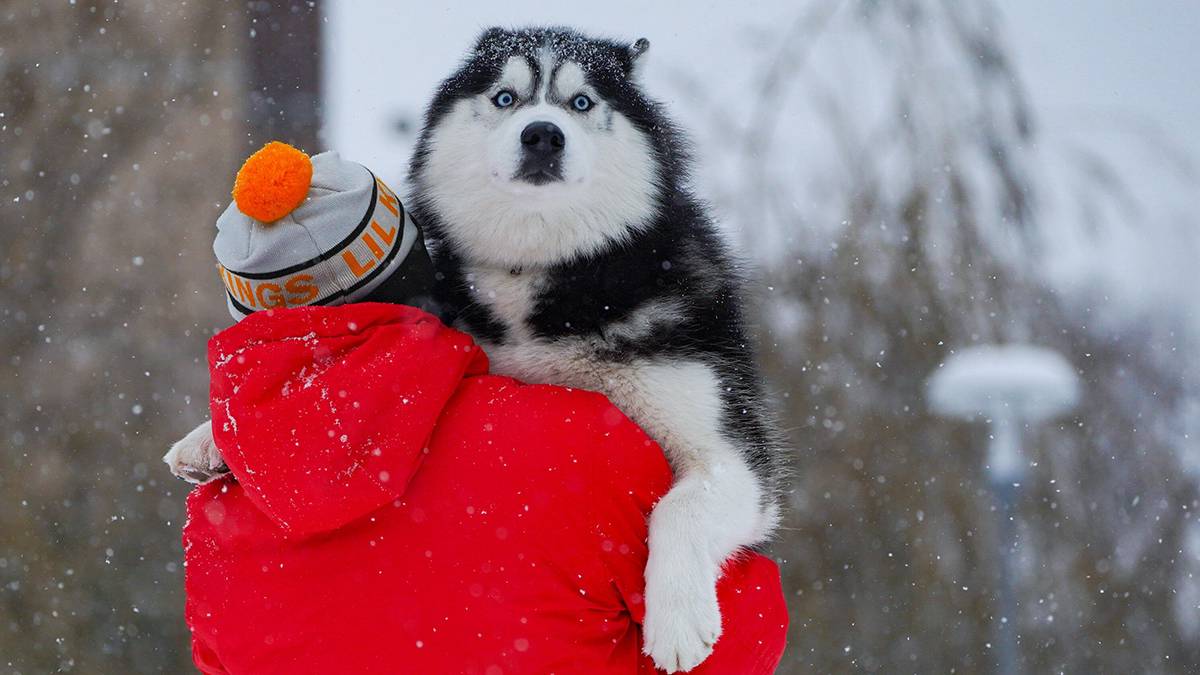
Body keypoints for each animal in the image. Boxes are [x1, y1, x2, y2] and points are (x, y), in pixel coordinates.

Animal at [169, 24, 787, 667]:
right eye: (506, 97)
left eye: (581, 102)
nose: (542, 134)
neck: (539, 270)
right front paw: (208, 437)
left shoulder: (729, 449)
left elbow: (682, 506)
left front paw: (679, 619)